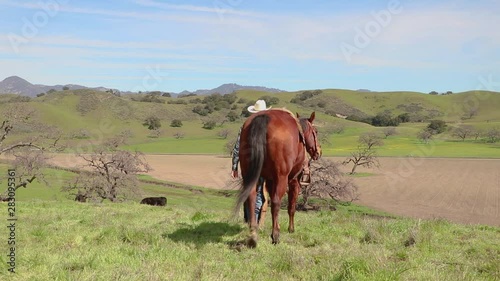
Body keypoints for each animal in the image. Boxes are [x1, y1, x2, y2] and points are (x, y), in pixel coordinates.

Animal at [236, 109, 322, 245]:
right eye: (316, 131)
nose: (318, 151)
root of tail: (263, 118)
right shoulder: (293, 181)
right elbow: (291, 206)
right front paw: (291, 229)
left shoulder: (270, 180)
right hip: (281, 178)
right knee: (276, 202)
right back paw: (275, 235)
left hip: (249, 175)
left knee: (251, 198)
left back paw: (253, 233)